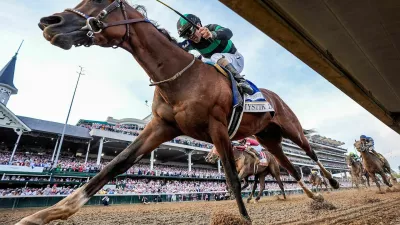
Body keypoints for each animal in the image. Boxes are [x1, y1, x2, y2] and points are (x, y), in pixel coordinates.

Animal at [18, 1, 338, 223]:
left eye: (98, 0)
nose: (50, 22)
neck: (181, 78)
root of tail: (275, 98)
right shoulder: (162, 126)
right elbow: (115, 165)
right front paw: (44, 214)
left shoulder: (218, 128)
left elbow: (233, 178)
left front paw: (244, 218)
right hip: (269, 138)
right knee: (290, 168)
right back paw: (316, 198)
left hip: (290, 128)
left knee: (310, 154)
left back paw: (332, 182)